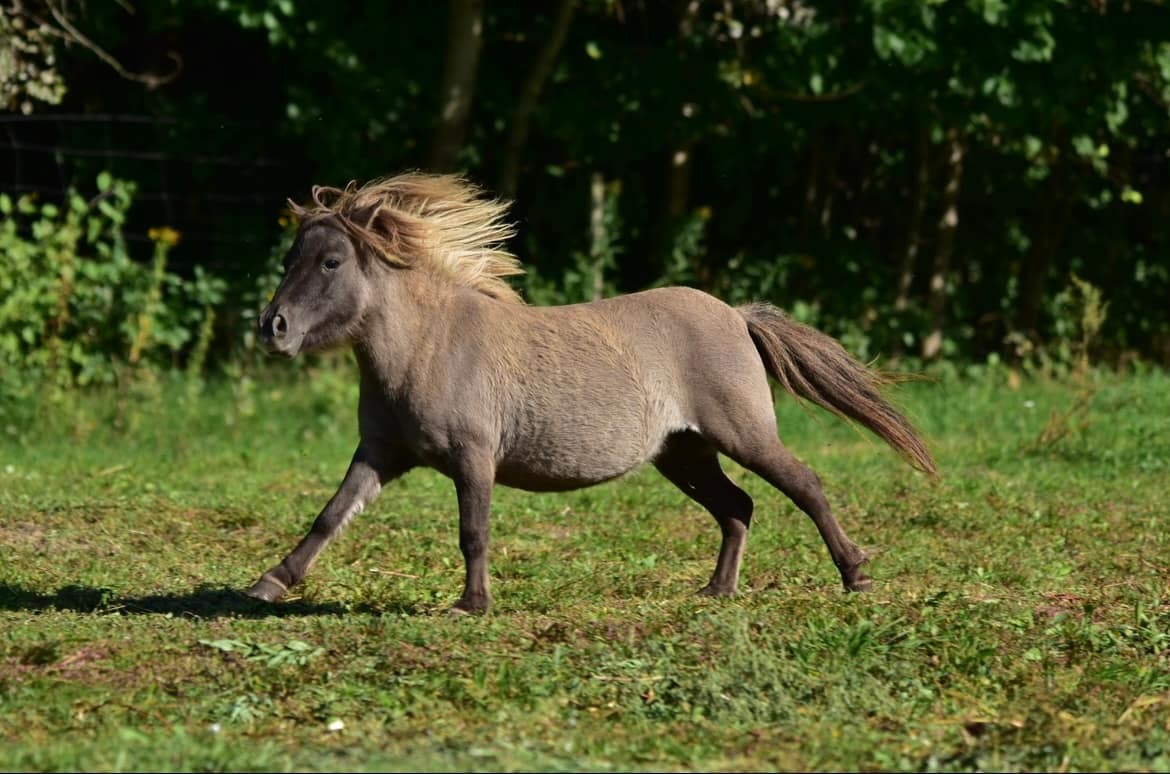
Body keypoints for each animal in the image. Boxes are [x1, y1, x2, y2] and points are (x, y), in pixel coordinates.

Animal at [246, 172, 937, 613]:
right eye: (287, 258)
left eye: (330, 261)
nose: (271, 327)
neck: (430, 346)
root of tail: (738, 316)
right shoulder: (382, 452)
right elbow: (331, 514)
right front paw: (269, 584)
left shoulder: (473, 457)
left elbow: (473, 531)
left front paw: (472, 604)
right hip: (684, 453)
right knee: (737, 507)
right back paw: (717, 592)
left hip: (744, 436)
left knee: (804, 485)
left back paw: (855, 575)